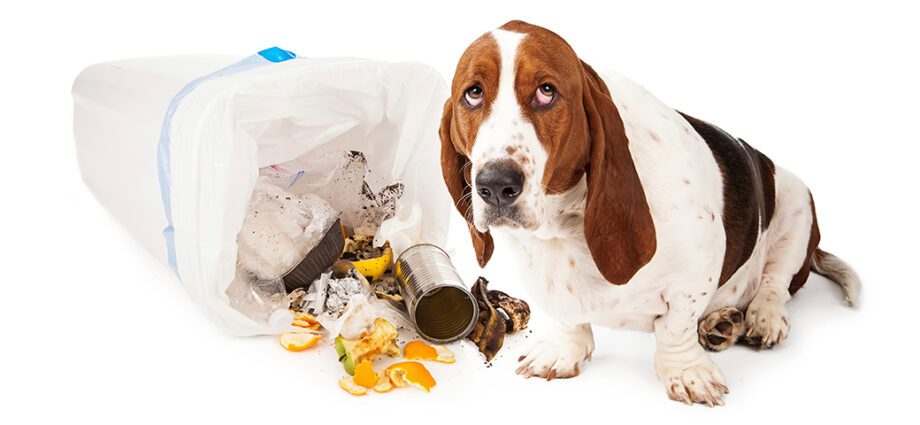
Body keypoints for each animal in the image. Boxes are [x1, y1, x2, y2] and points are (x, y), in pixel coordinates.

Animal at [438, 21, 864, 406]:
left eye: (547, 91)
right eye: (473, 94)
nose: (495, 185)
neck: (566, 222)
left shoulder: (695, 273)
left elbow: (676, 327)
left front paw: (687, 372)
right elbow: (567, 317)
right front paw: (564, 350)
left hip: (797, 204)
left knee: (777, 284)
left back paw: (761, 317)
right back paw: (721, 323)